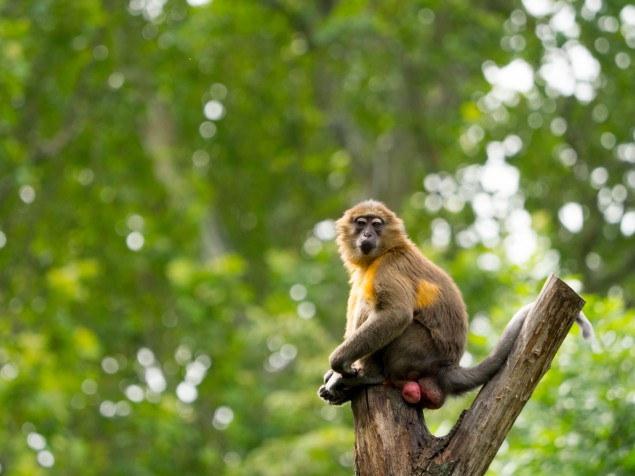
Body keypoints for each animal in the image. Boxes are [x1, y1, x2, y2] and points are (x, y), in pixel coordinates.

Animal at [320, 199, 592, 408]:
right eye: (360, 223)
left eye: (376, 224)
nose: (367, 234)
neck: (384, 252)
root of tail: (447, 368)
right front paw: (335, 374)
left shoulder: (389, 267)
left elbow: (395, 315)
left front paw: (339, 365)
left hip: (420, 351)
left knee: (389, 317)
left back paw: (370, 375)